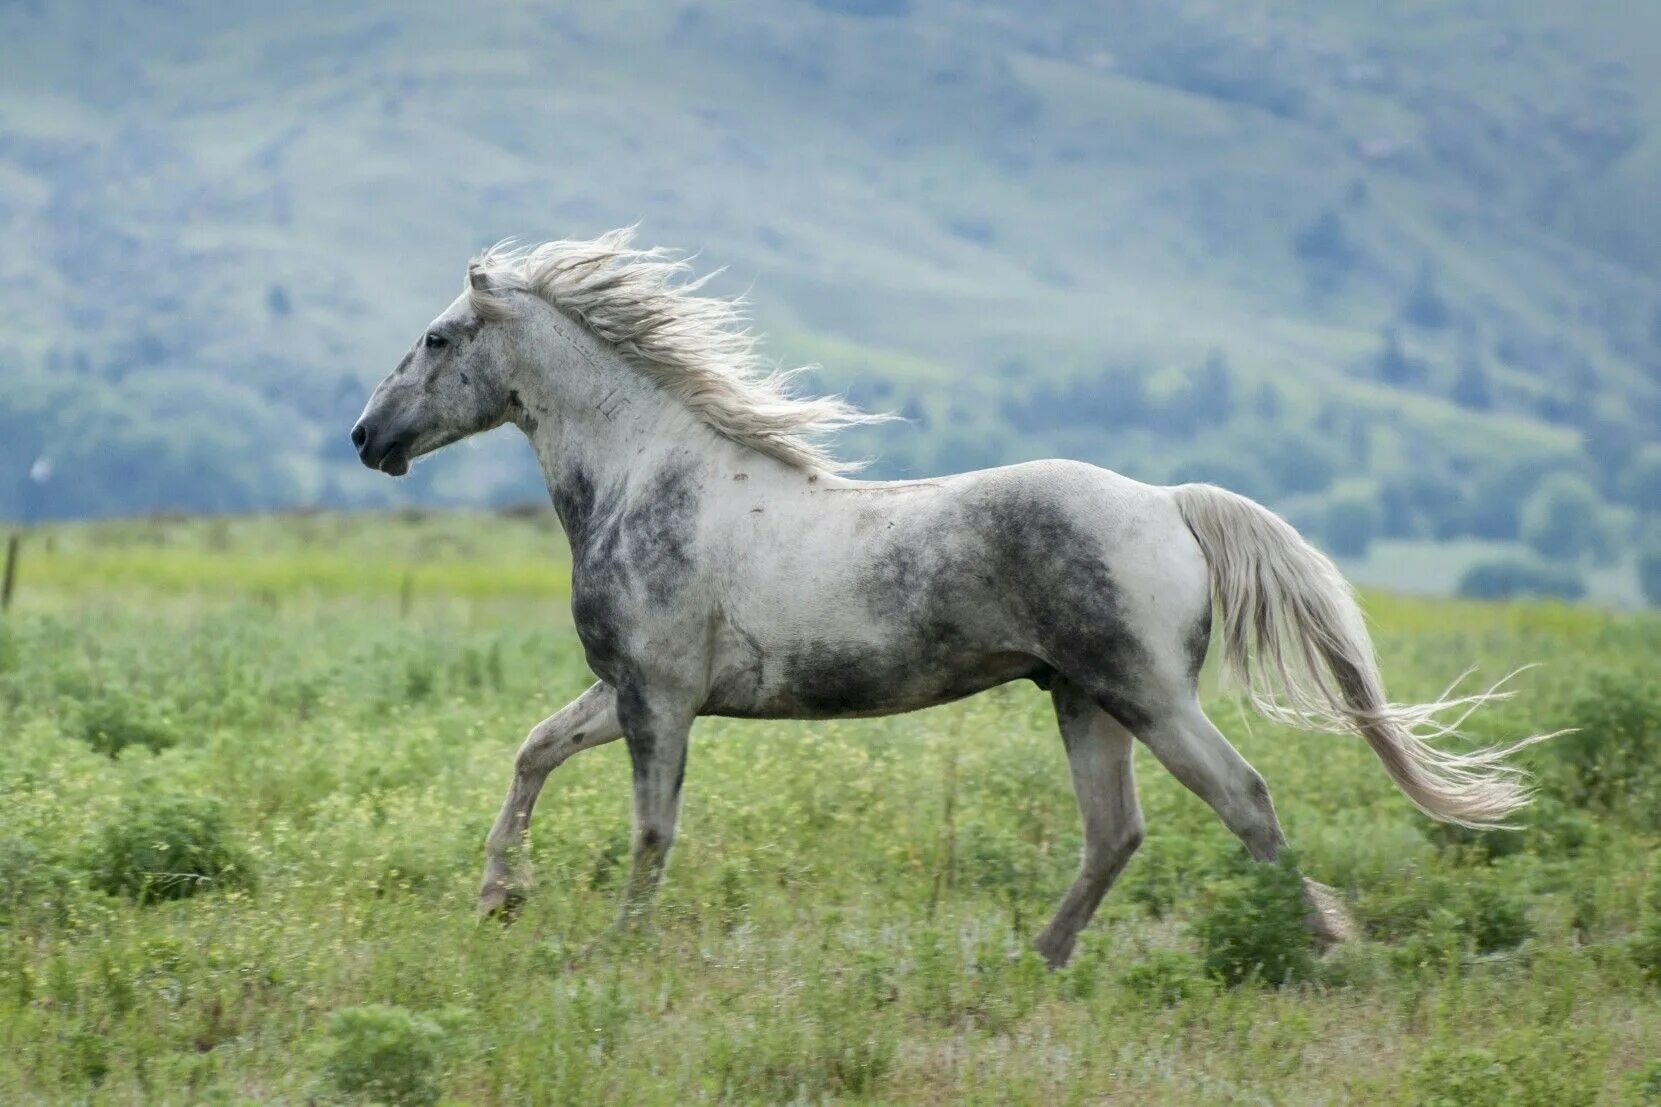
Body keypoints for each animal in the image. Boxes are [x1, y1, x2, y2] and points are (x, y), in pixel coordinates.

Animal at [350, 227, 1541, 964]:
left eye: (438, 338)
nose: (366, 438)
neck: (653, 478)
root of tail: (1168, 501)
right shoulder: (625, 692)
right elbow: (533, 753)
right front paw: (500, 896)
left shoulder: (661, 701)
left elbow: (649, 829)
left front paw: (613, 943)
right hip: (1081, 698)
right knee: (1114, 833)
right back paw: (1036, 958)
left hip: (1145, 694)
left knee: (1242, 800)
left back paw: (1325, 948)